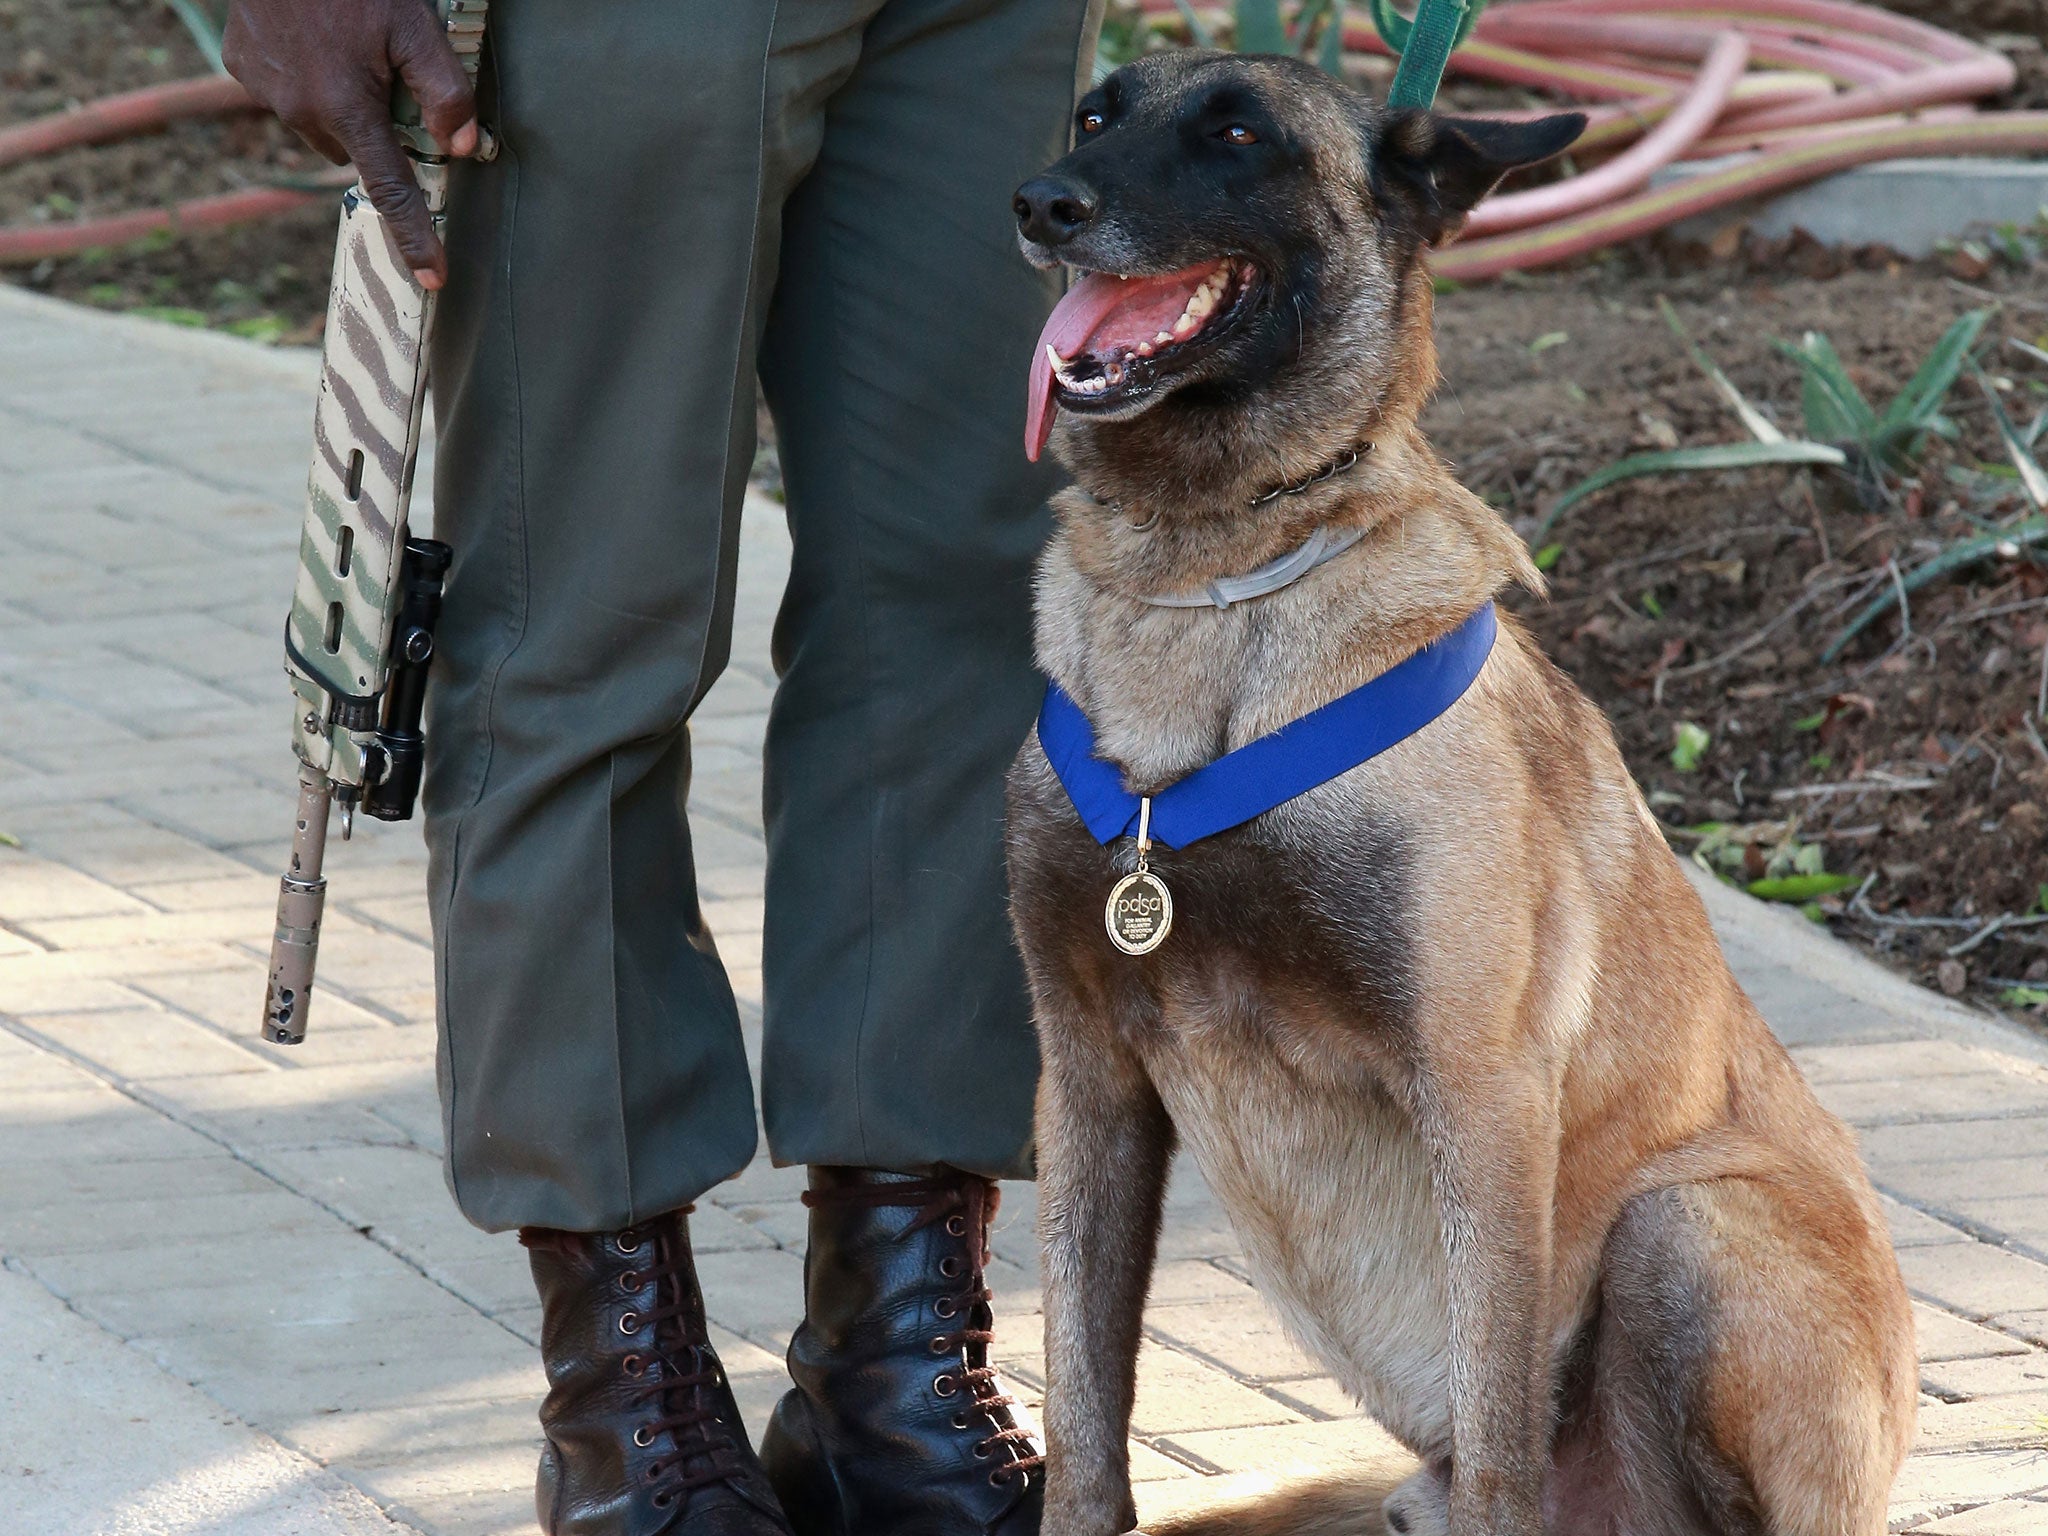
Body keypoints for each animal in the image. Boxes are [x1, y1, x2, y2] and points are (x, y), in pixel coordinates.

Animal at [999, 48, 1908, 1536]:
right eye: (1093, 113)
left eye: (1236, 133)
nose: (1040, 202)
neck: (1206, 573)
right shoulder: (1087, 1076)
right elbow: (1081, 1419)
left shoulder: (1480, 1094)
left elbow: (1496, 1433)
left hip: (1686, 1224)